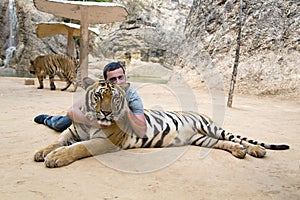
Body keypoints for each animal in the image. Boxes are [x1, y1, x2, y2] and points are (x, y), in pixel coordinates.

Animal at [34, 79, 290, 168]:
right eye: (98, 96)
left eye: (114, 98)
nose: (106, 113)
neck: (89, 122)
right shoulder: (71, 131)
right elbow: (58, 141)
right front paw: (42, 152)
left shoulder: (105, 141)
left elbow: (79, 148)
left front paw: (56, 158)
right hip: (203, 139)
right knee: (226, 143)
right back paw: (240, 152)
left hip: (212, 128)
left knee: (237, 137)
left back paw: (256, 150)